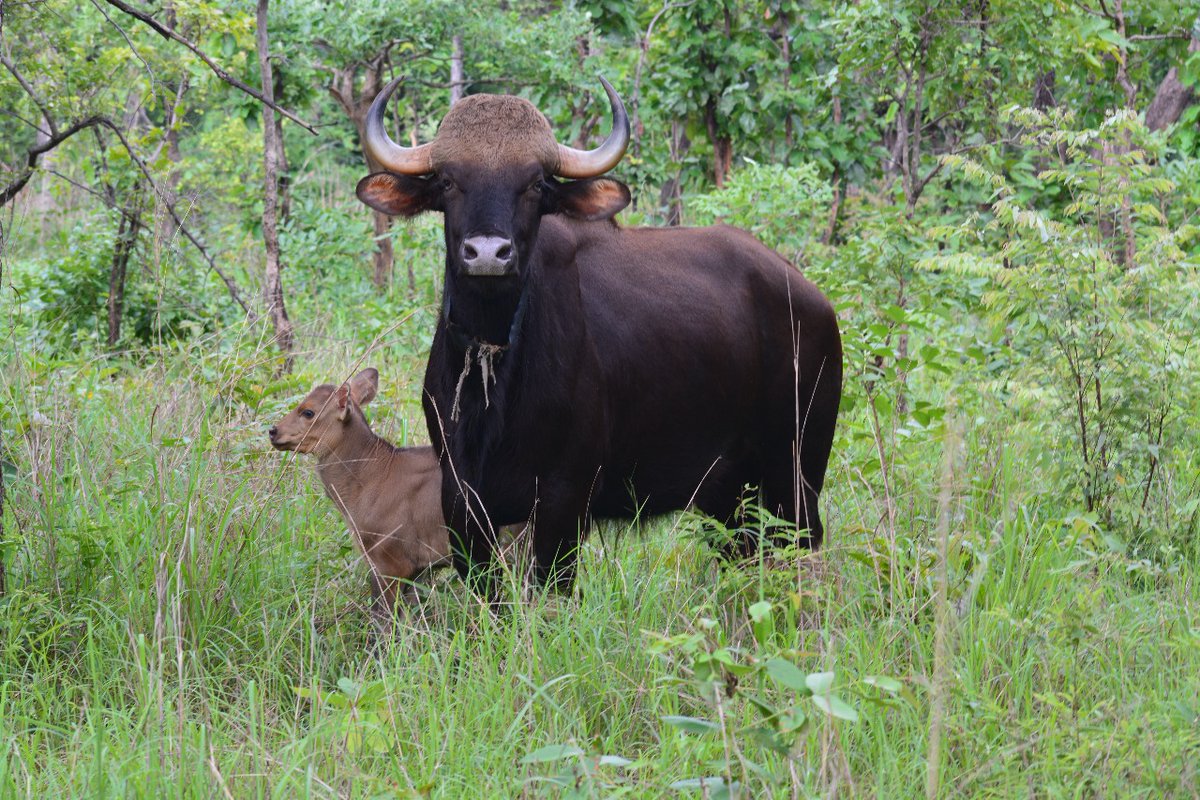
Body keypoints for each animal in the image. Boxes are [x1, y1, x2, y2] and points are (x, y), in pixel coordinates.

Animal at [355, 76, 842, 597]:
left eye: (536, 184)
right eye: (447, 181)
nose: (487, 253)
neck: (494, 371)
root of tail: (814, 302)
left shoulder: (564, 500)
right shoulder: (461, 500)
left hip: (797, 473)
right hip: (727, 495)